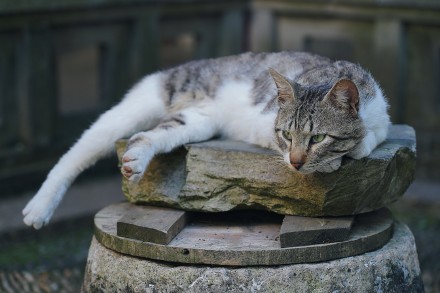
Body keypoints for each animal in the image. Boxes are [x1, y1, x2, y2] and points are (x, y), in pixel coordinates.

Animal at [22, 50, 390, 228]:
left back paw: (134, 161)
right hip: (144, 102)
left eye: (318, 137)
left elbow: (371, 137)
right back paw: (38, 208)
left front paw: (350, 148)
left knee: (146, 135)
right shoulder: (270, 126)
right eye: (286, 134)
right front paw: (330, 162)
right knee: (77, 150)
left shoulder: (382, 118)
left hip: (195, 122)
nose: (296, 162)